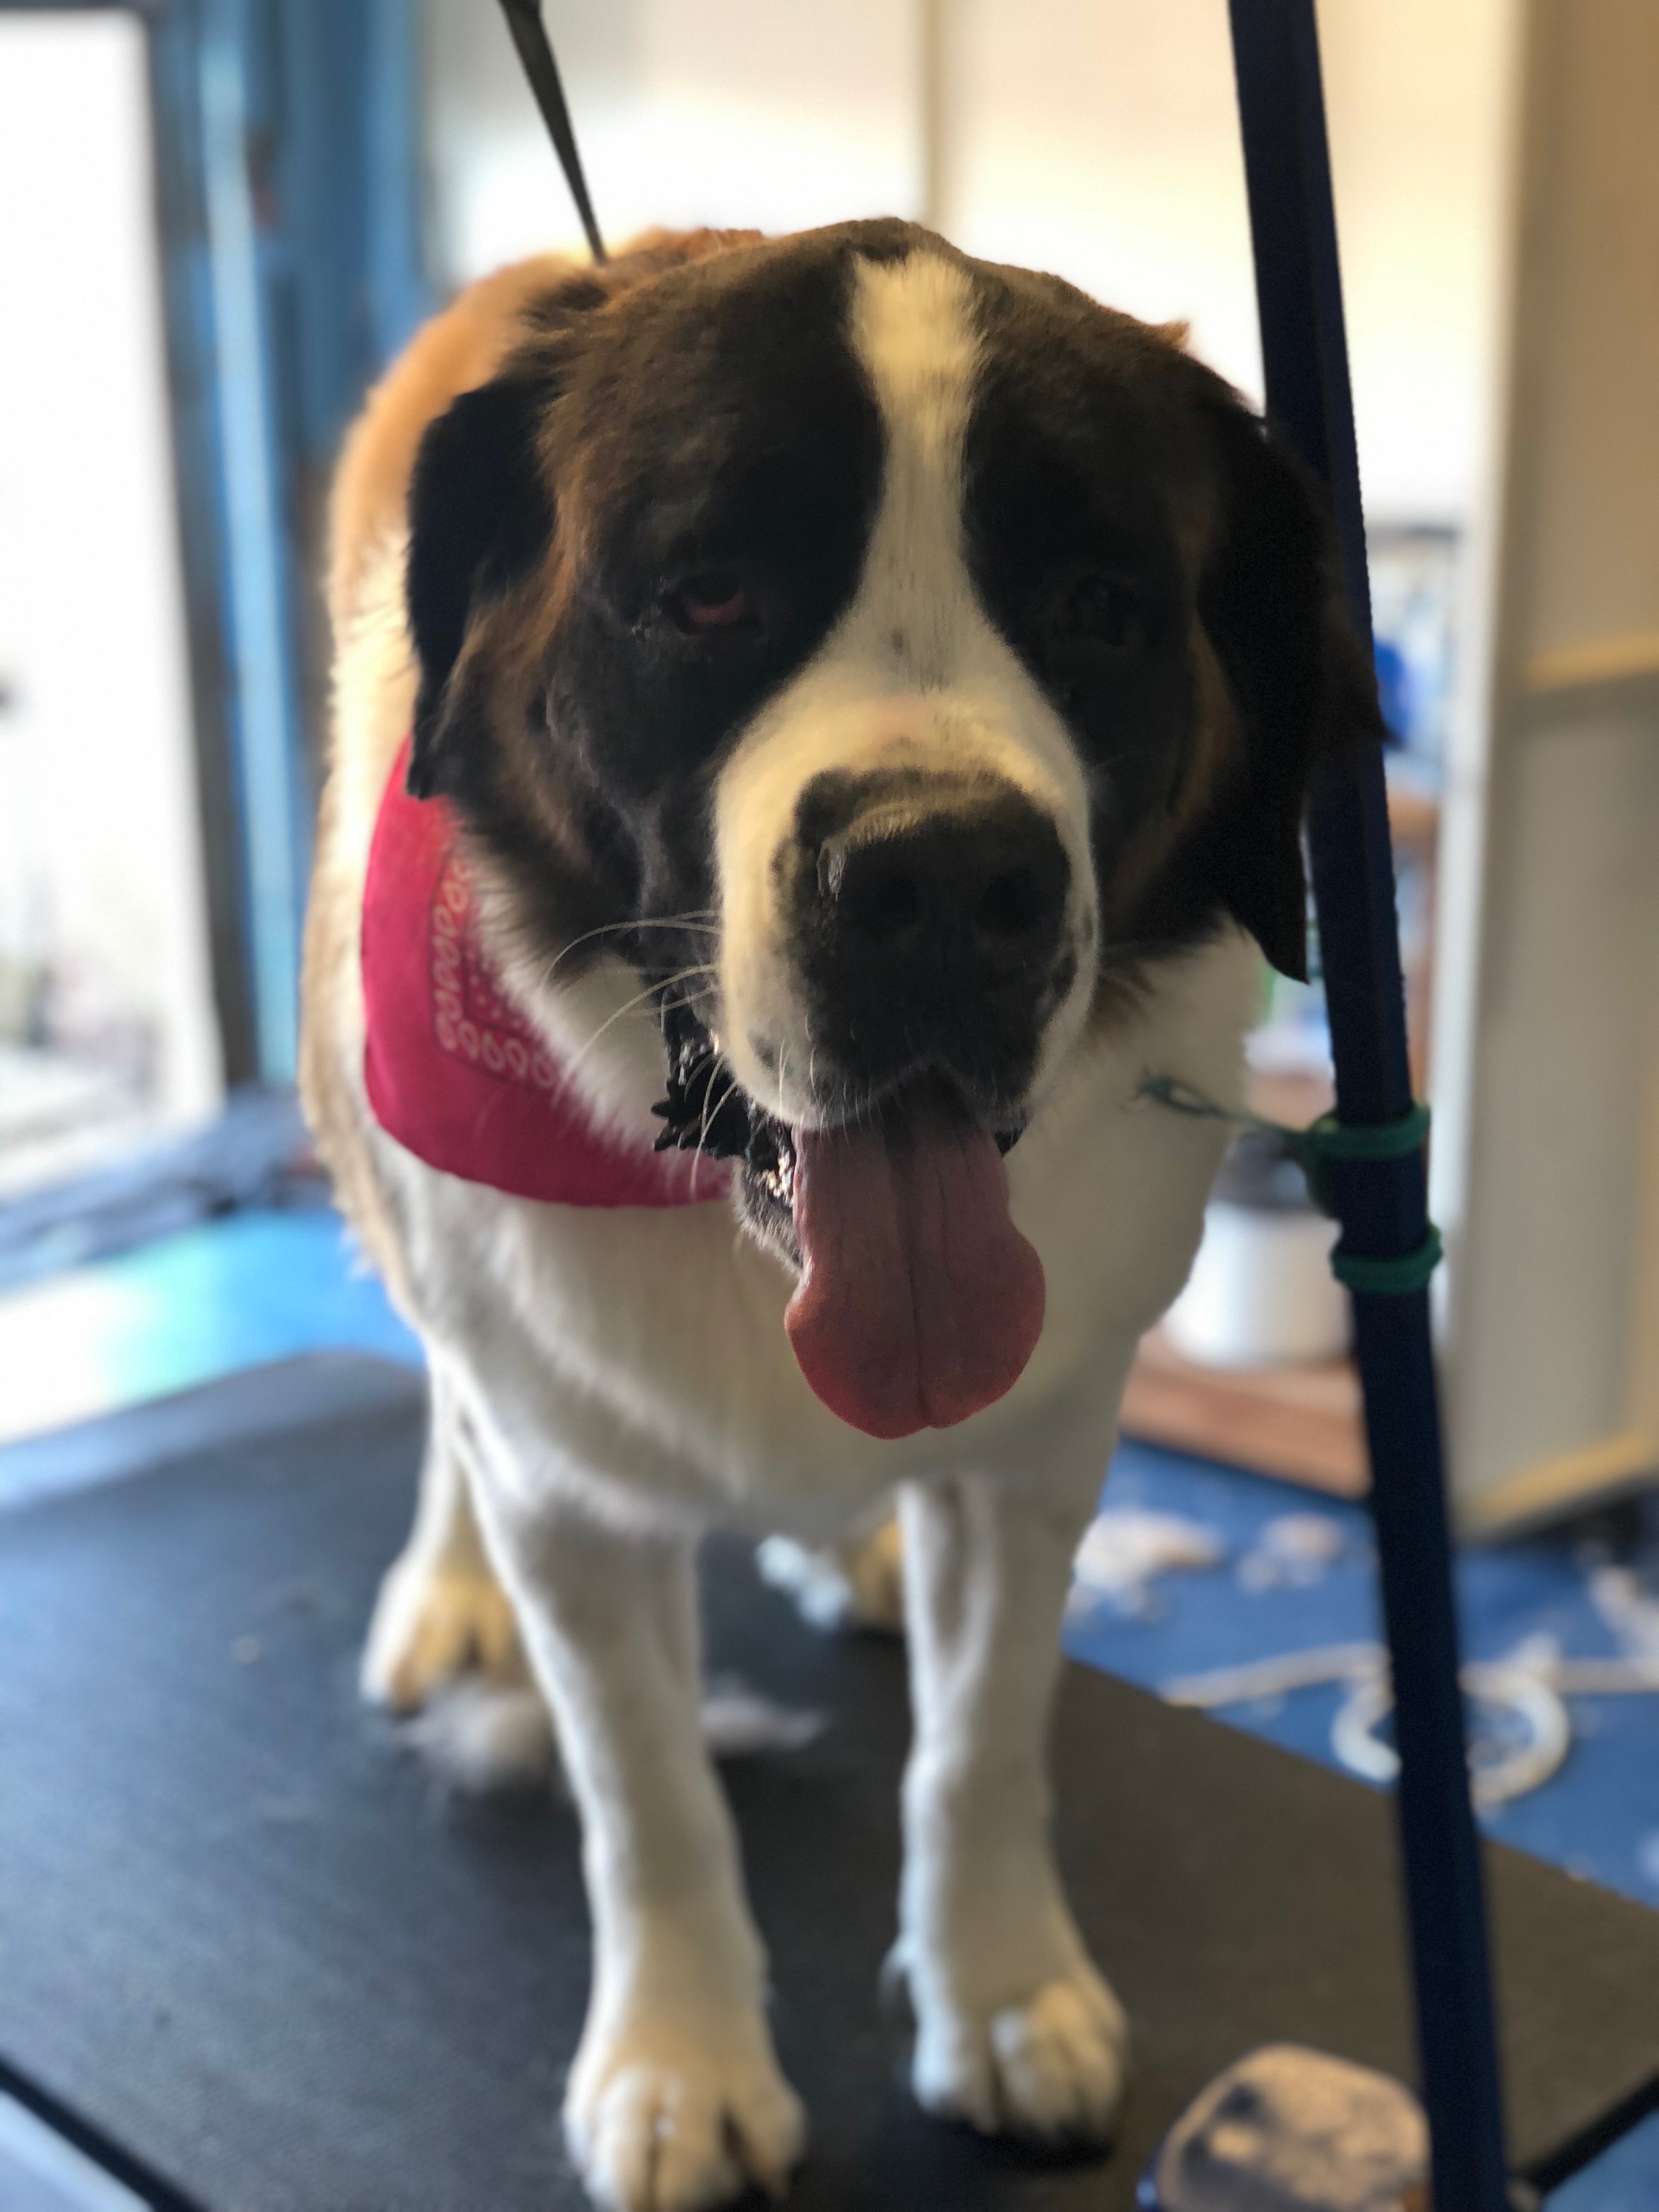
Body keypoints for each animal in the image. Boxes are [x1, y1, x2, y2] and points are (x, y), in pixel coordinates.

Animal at [301, 218, 1376, 2212]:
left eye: (1101, 604)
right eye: (709, 594)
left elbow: (981, 1745)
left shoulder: (1041, 1456)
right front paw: (680, 2065)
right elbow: (645, 1789)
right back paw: (450, 1582)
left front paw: (1004, 1996)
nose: (945, 880)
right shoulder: (567, 1484)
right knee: (444, 1393)